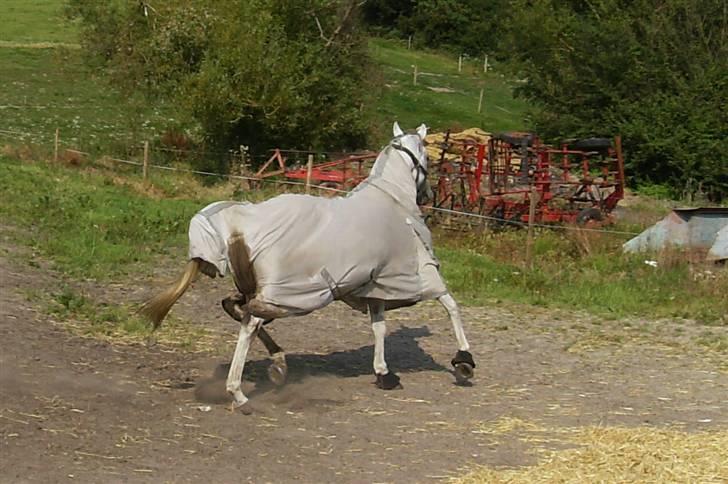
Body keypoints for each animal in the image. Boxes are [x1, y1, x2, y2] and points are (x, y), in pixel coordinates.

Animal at [141, 123, 474, 414]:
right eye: (427, 155)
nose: (428, 196)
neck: (392, 201)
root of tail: (237, 222)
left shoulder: (375, 284)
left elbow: (379, 327)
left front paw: (384, 374)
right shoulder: (417, 275)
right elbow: (451, 305)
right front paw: (464, 361)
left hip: (263, 289)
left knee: (235, 308)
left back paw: (277, 364)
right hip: (290, 293)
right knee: (250, 322)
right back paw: (240, 392)